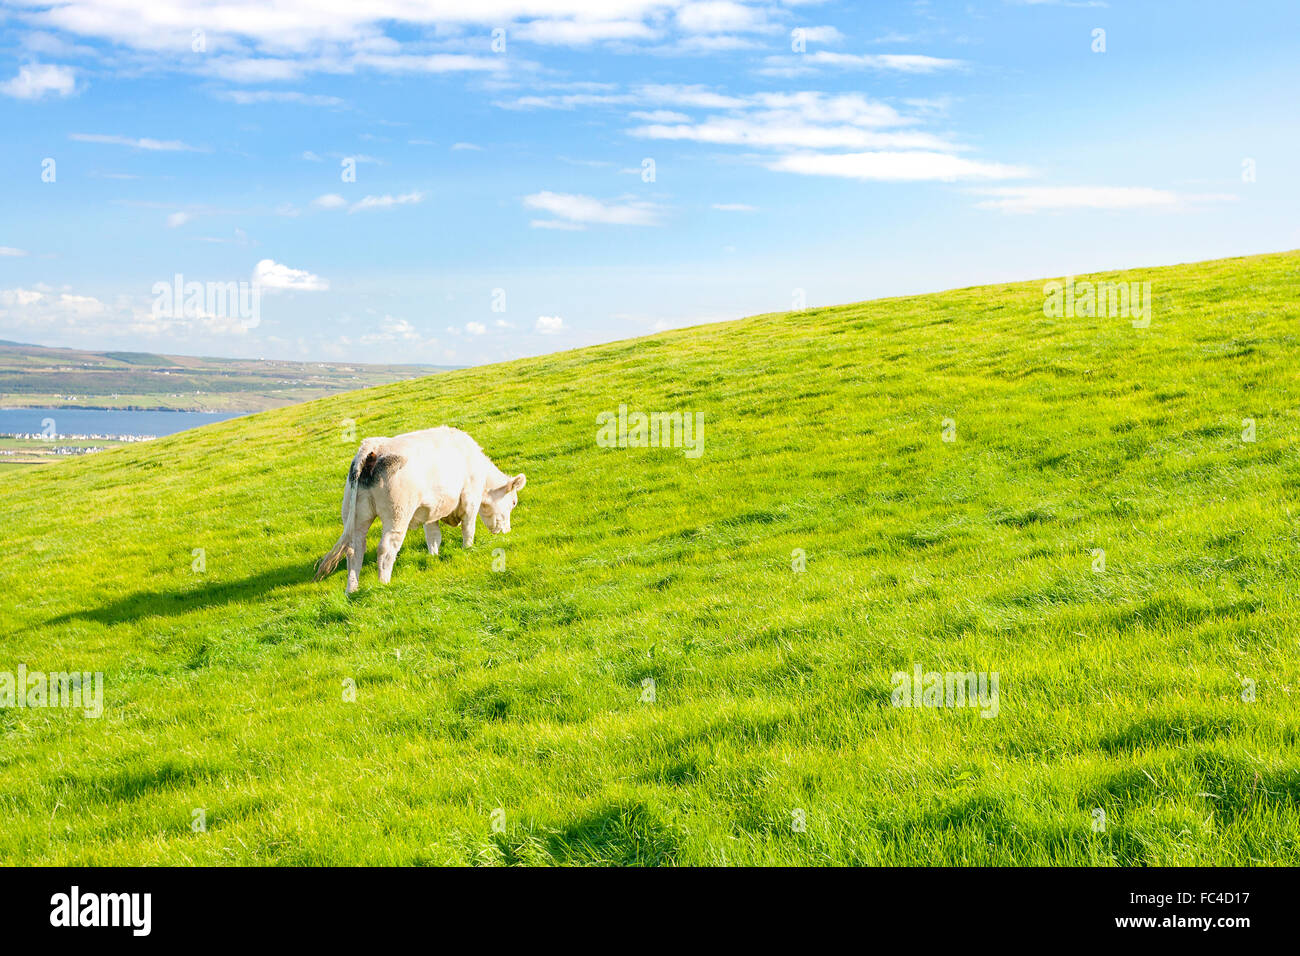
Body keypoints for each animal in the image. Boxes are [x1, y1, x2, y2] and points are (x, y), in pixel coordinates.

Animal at [313, 426, 522, 590]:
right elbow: (468, 528)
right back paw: (383, 583)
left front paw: (433, 556)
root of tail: (374, 446)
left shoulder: (431, 509)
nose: (507, 530)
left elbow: (433, 536)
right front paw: (467, 549)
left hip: (357, 515)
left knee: (354, 549)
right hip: (397, 514)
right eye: (513, 502)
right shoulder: (470, 498)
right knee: (386, 548)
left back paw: (352, 590)